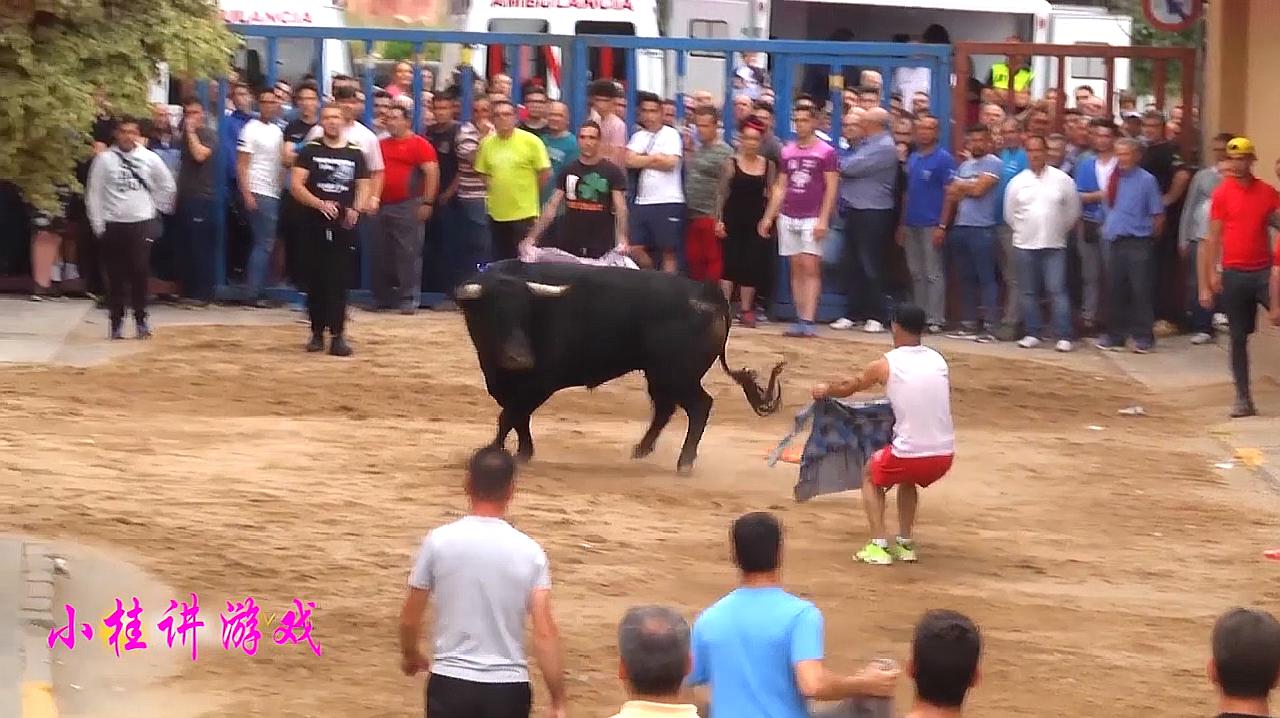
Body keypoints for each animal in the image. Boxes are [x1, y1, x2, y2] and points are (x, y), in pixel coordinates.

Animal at [455, 258, 783, 470]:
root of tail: (708, 293)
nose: (520, 359)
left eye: (525, 313)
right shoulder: (505, 382)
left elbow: (510, 415)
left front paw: (494, 451)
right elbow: (515, 416)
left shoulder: (541, 382)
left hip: (677, 374)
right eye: (493, 314)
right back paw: (641, 450)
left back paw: (684, 462)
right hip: (660, 375)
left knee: (699, 406)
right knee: (665, 408)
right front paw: (519, 452)